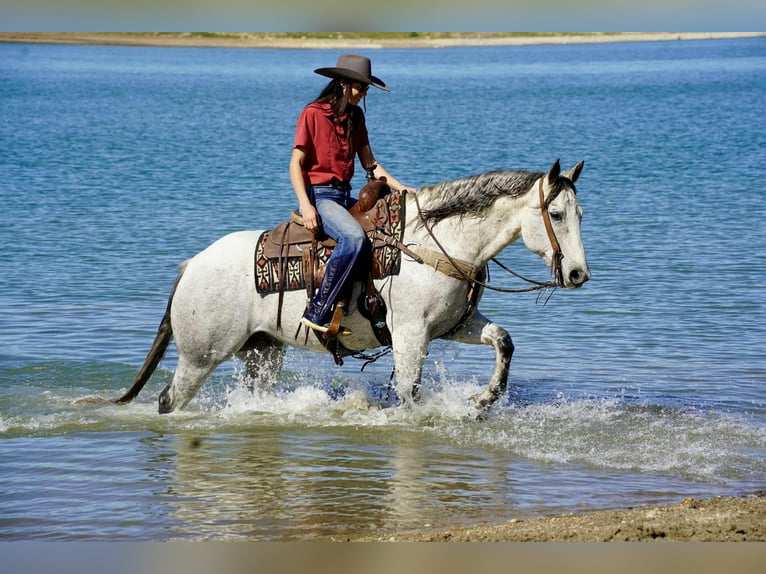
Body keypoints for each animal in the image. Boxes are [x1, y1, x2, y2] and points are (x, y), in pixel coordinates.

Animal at [115, 159, 590, 415]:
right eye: (557, 214)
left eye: (580, 213)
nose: (578, 275)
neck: (438, 242)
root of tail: (191, 266)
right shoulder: (411, 334)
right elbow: (410, 392)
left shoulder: (455, 326)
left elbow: (503, 341)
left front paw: (483, 399)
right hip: (201, 357)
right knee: (169, 400)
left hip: (261, 353)